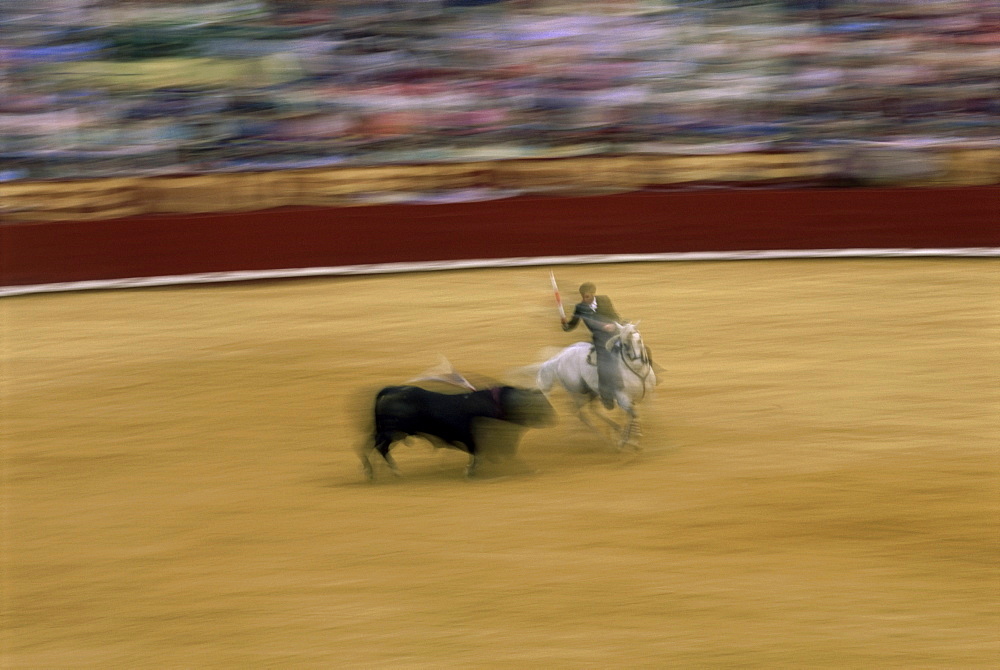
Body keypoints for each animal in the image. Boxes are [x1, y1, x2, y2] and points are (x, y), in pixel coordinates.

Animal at [360, 386, 560, 480]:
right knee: (377, 448)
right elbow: (483, 456)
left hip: (388, 432)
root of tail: (389, 390)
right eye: (538, 404)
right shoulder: (488, 442)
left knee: (369, 446)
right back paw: (386, 472)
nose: (554, 418)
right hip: (392, 432)